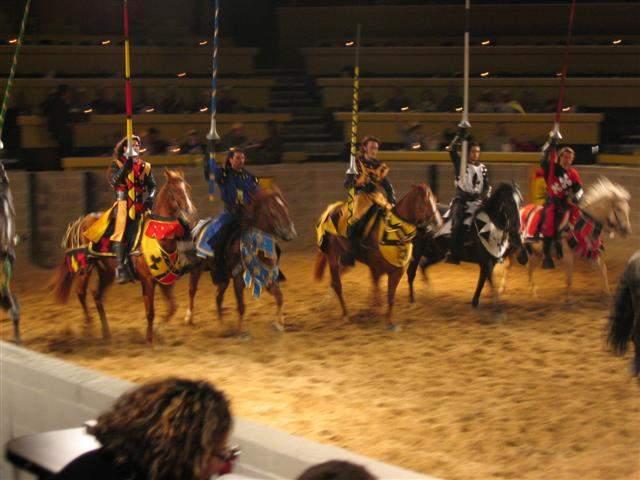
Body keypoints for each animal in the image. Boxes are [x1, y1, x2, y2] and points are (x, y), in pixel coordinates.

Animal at [50, 169, 197, 343]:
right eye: (175, 191)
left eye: (188, 188)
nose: (190, 212)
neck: (157, 235)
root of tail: (82, 221)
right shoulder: (147, 281)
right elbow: (150, 312)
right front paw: (149, 338)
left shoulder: (163, 281)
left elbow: (172, 307)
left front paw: (158, 331)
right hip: (85, 267)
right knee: (81, 292)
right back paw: (89, 327)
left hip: (106, 272)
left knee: (97, 295)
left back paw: (106, 332)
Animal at [185, 187, 297, 338]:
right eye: (273, 210)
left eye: (285, 205)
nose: (290, 233)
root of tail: (198, 227)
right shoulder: (238, 279)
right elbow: (241, 306)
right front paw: (240, 331)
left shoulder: (267, 276)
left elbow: (279, 297)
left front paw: (280, 325)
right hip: (197, 269)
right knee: (192, 291)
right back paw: (189, 318)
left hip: (223, 278)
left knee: (218, 298)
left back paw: (222, 327)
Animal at [315, 183, 441, 330]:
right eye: (425, 201)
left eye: (435, 199)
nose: (438, 223)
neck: (393, 232)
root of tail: (331, 210)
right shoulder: (376, 269)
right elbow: (378, 291)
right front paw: (374, 311)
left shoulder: (397, 272)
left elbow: (390, 296)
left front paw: (390, 322)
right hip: (333, 256)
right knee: (337, 284)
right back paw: (345, 315)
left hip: (347, 260)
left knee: (335, 280)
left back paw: (324, 305)